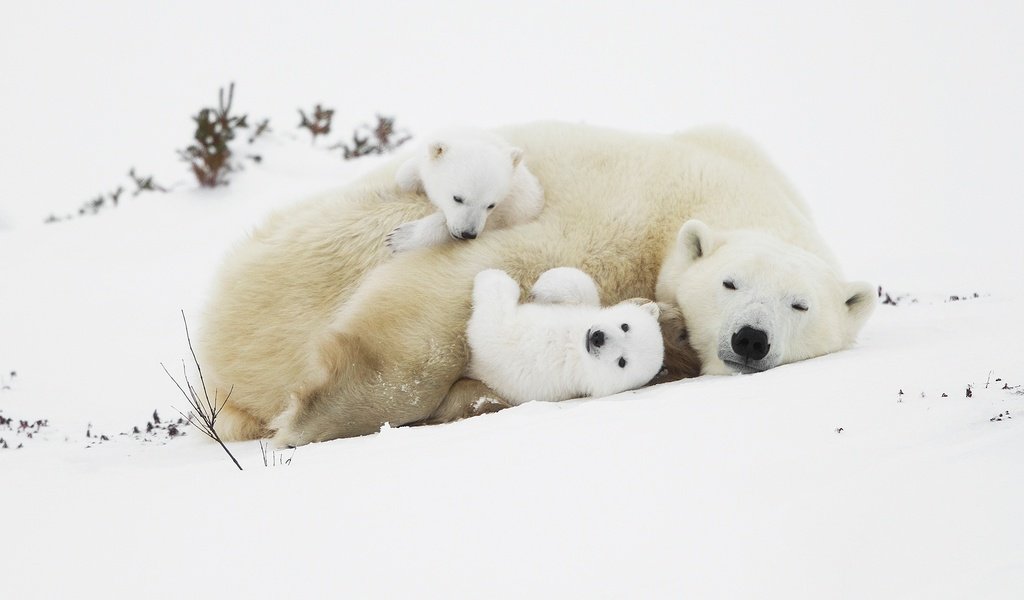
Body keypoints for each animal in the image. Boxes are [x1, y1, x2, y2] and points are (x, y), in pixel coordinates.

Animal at [385, 129, 544, 250]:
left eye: (491, 205)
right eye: (457, 198)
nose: (467, 233)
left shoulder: (515, 207)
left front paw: (399, 237)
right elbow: (405, 175)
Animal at [466, 266, 663, 401]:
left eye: (622, 362)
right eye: (625, 326)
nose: (597, 337)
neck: (573, 342)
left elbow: (492, 324)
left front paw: (491, 276)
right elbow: (582, 287)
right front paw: (543, 285)